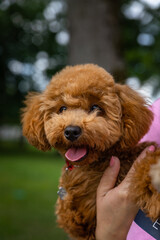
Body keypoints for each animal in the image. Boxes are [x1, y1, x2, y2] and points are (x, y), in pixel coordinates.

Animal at [21, 64, 160, 240]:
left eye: (95, 107)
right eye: (62, 109)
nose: (71, 131)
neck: (95, 164)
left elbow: (145, 162)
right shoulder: (78, 218)